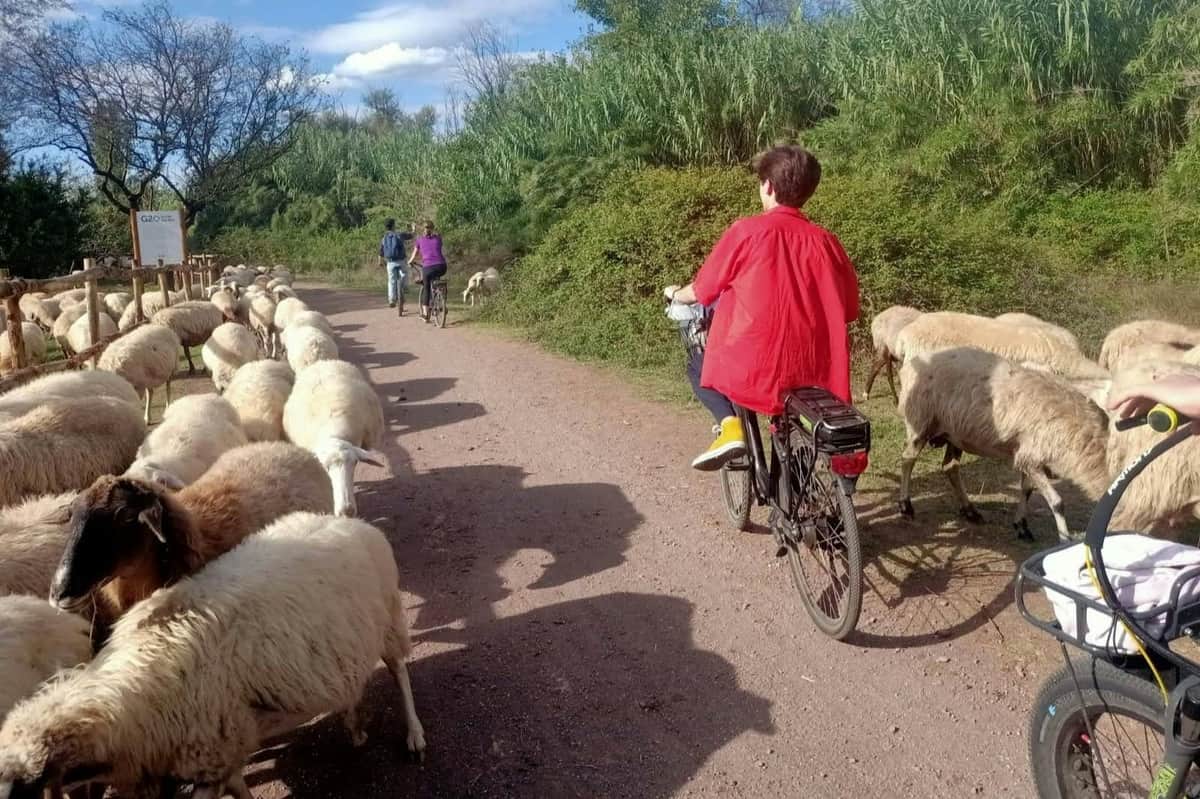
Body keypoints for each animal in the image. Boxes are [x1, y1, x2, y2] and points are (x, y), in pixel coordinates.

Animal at [1, 512, 424, 799]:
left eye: (20, 790)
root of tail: (345, 520)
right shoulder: (218, 748)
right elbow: (239, 785)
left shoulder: (211, 750)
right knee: (353, 682)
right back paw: (354, 724)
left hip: (389, 618)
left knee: (400, 671)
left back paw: (414, 735)